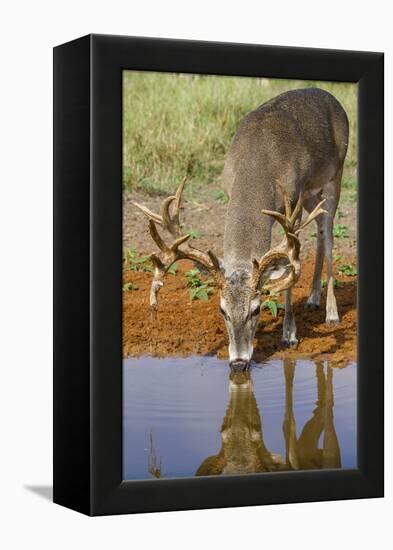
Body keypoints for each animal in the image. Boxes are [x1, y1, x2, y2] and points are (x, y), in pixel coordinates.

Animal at [133, 87, 348, 370]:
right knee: (321, 232)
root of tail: (330, 96)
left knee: (329, 234)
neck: (258, 164)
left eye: (256, 309)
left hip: (335, 175)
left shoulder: (293, 201)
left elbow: (290, 265)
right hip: (313, 193)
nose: (238, 362)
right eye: (222, 309)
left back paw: (331, 314)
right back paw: (313, 298)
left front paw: (289, 335)